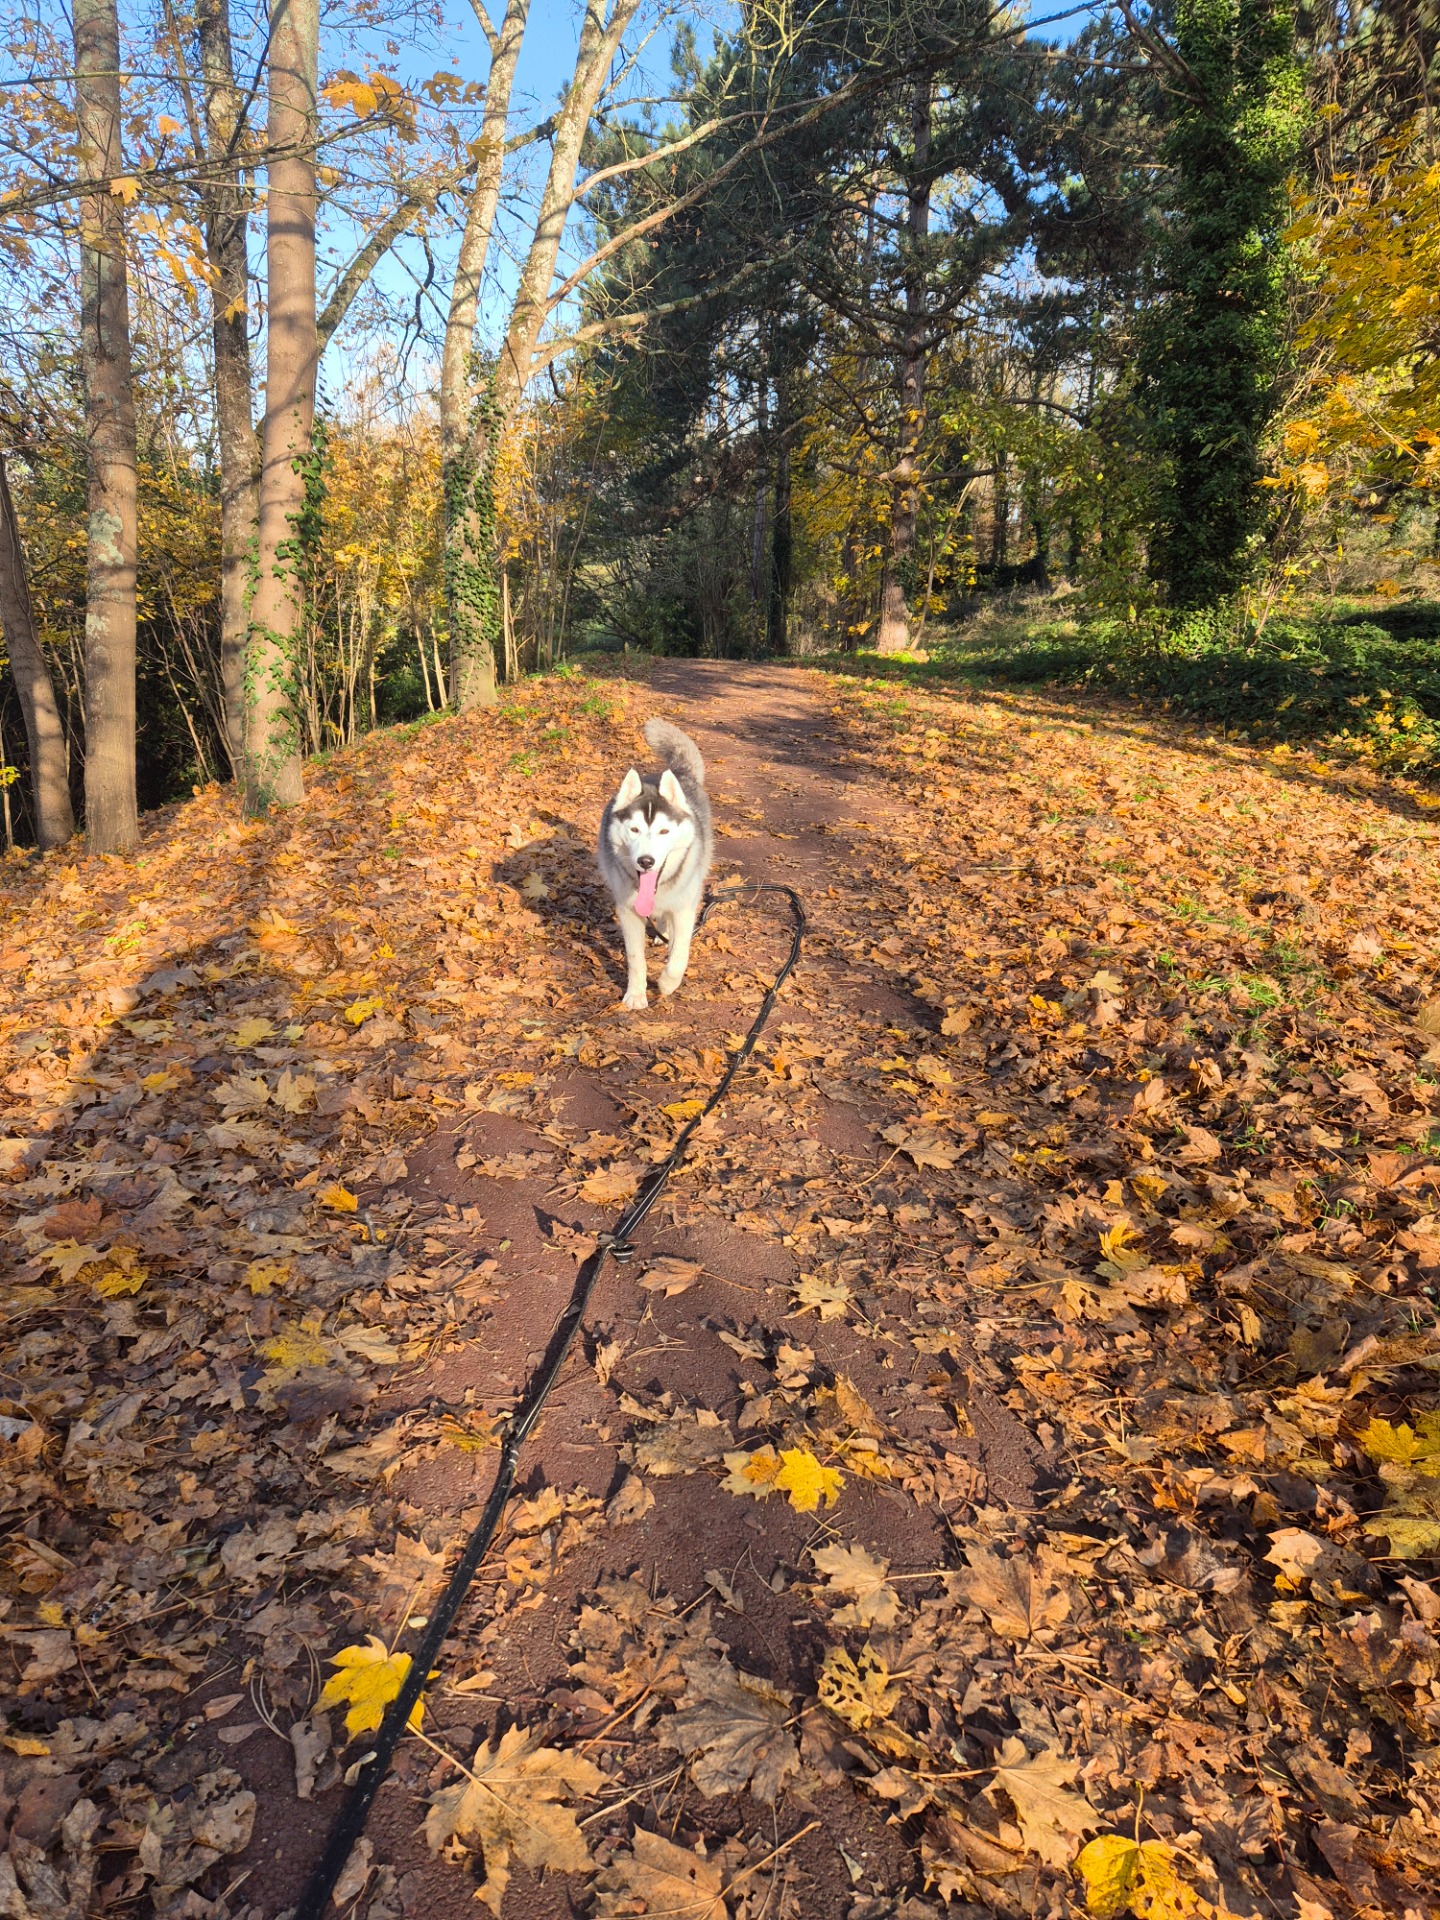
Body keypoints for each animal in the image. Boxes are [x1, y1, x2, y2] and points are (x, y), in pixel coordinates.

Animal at [599, 718, 718, 1013]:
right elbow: (635, 958)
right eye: (634, 829)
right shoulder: (628, 911)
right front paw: (636, 994)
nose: (646, 861)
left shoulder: (685, 907)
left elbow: (680, 954)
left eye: (664, 831)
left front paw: (666, 984)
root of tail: (679, 773)